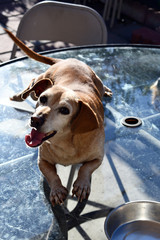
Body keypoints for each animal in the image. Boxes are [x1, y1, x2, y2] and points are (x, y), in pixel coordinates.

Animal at [5, 29, 112, 205]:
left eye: (64, 110)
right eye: (43, 99)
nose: (35, 119)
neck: (66, 142)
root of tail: (66, 60)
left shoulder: (98, 157)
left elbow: (85, 168)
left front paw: (82, 184)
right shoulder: (42, 161)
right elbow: (51, 174)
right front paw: (56, 190)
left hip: (98, 82)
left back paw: (108, 90)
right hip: (41, 81)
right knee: (32, 83)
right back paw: (18, 95)